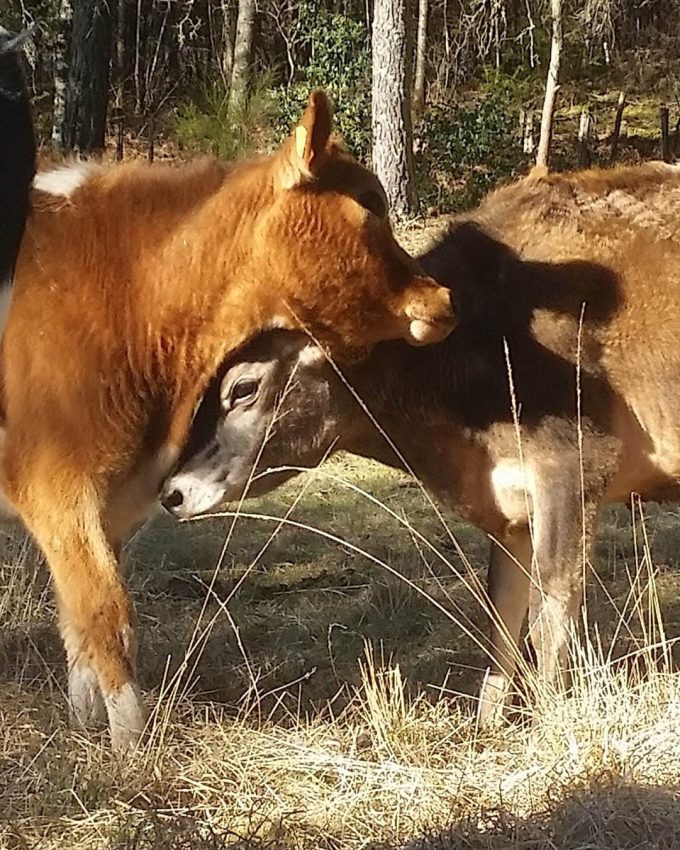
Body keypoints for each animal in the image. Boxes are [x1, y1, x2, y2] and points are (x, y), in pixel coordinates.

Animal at [0, 89, 455, 750]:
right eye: (370, 202)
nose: (444, 299)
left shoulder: (107, 507)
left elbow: (79, 626)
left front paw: (86, 729)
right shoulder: (58, 490)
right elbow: (107, 616)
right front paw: (133, 748)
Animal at [162, 161, 680, 726]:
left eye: (243, 388)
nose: (173, 492)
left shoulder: (573, 470)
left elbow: (550, 620)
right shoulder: (510, 507)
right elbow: (501, 619)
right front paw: (487, 726)